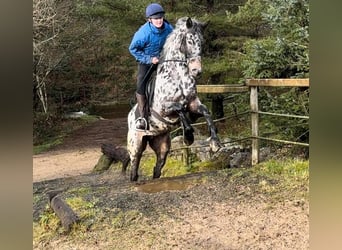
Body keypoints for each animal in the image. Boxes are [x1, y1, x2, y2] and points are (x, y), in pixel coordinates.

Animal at [125, 17, 222, 182]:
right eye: (189, 41)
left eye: (201, 41)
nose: (197, 71)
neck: (179, 76)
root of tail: (130, 116)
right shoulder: (164, 108)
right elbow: (180, 109)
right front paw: (188, 137)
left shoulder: (193, 104)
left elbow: (206, 112)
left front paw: (215, 143)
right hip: (136, 144)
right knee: (134, 166)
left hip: (162, 144)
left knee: (157, 167)